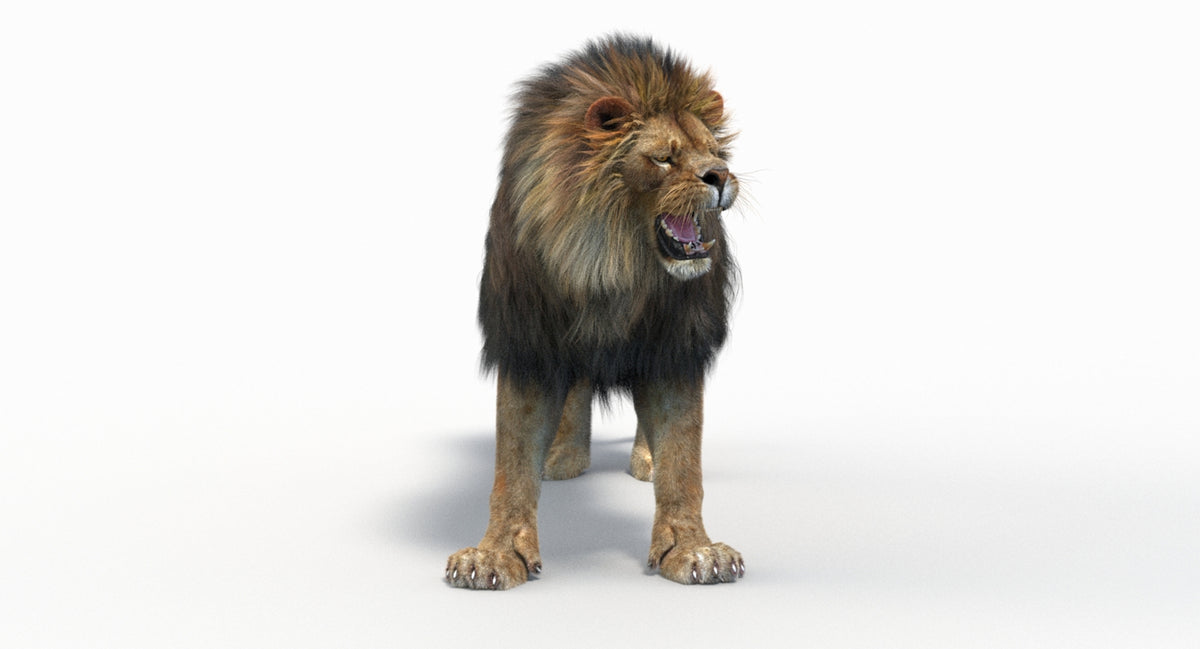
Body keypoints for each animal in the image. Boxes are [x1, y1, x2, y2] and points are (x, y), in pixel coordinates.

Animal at [445, 35, 744, 589]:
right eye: (664, 159)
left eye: (715, 154)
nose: (720, 177)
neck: (607, 266)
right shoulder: (529, 342)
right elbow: (511, 461)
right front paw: (493, 556)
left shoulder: (673, 344)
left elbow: (682, 457)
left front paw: (694, 550)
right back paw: (563, 457)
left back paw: (643, 458)